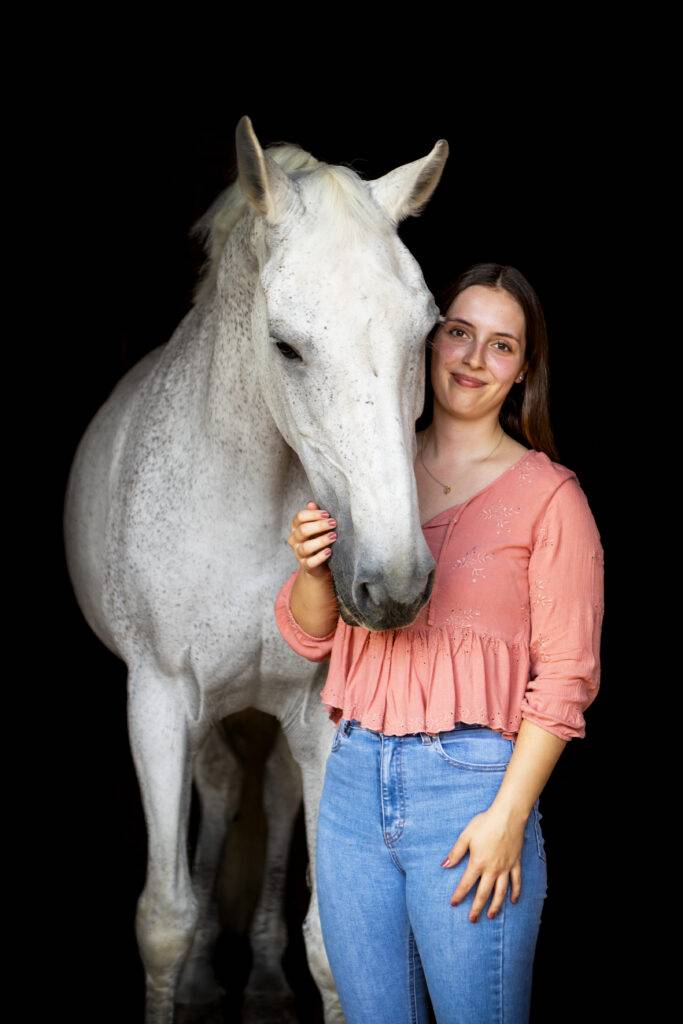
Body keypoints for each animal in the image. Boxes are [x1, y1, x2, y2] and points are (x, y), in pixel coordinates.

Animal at [62, 116, 448, 1019]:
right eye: (285, 347)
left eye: (425, 332)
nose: (395, 586)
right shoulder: (159, 702)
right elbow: (164, 919)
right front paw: (187, 967)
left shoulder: (319, 719)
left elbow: (330, 939)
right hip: (205, 720)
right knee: (222, 797)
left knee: (265, 802)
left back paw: (263, 979)